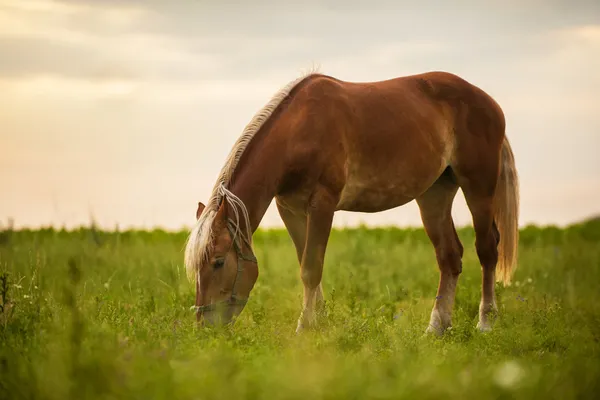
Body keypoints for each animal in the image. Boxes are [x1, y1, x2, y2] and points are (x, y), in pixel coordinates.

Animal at [185, 69, 516, 334]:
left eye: (218, 261)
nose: (204, 326)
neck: (299, 131)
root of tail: (490, 104)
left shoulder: (322, 203)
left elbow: (311, 267)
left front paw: (305, 328)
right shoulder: (290, 209)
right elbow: (306, 264)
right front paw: (319, 323)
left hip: (478, 188)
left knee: (487, 250)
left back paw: (485, 322)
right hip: (434, 195)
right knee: (450, 257)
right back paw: (436, 328)